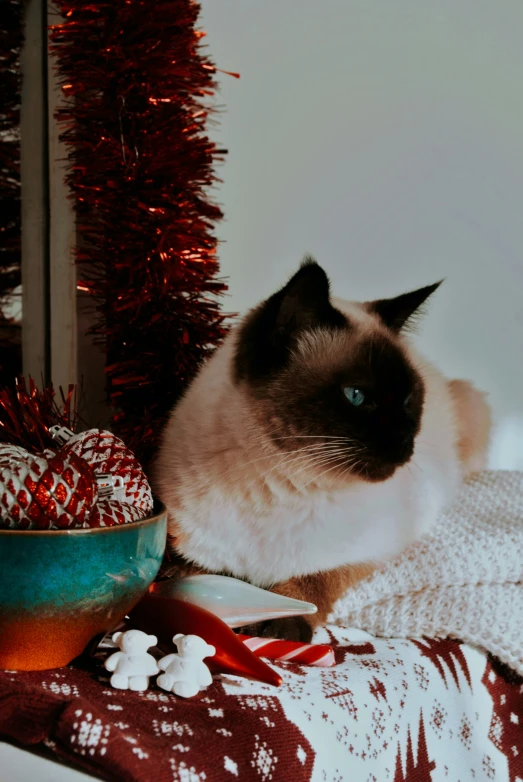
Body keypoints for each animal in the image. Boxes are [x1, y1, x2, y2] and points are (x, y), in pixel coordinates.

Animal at [152, 258, 492, 644]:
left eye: (408, 400)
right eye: (356, 396)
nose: (406, 443)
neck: (279, 482)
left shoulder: (368, 553)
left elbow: (313, 582)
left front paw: (282, 623)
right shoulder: (187, 539)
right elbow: (192, 573)